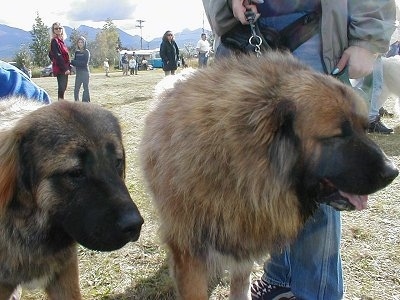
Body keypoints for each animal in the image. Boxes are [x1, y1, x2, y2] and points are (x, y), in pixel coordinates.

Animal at [139, 52, 398, 298]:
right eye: (337, 136)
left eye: (364, 128)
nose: (393, 171)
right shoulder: (189, 251)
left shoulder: (246, 237)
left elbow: (240, 284)